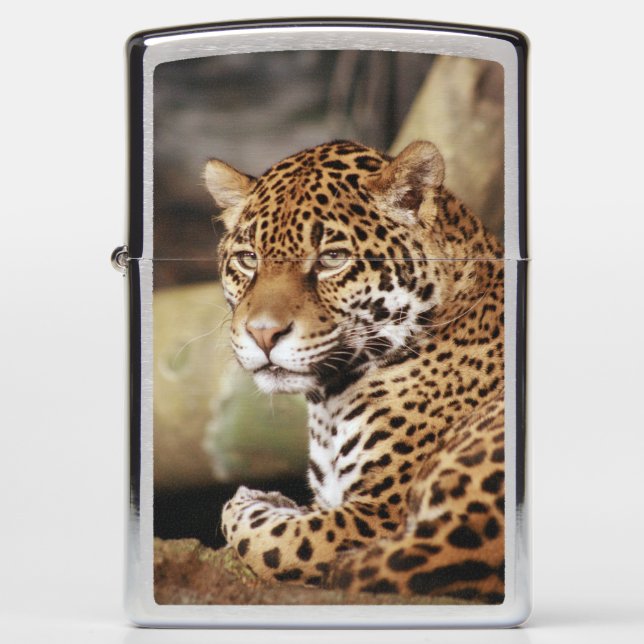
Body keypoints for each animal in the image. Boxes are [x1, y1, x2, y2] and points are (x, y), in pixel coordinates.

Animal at [203, 140, 505, 602]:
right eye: (248, 259)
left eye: (332, 259)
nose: (263, 334)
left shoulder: (379, 516)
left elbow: (278, 541)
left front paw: (256, 500)